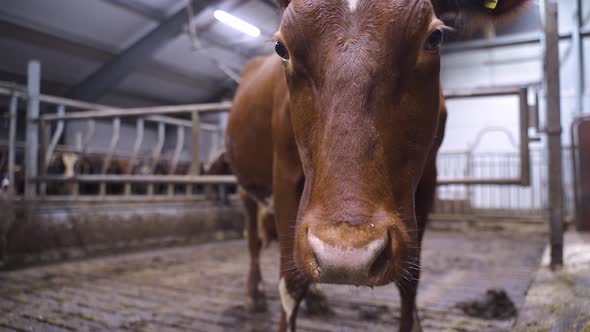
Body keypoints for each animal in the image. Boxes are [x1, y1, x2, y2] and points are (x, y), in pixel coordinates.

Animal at [225, 1, 528, 330]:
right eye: (282, 47)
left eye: (433, 38)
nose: (346, 257)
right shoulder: (285, 177)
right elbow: (291, 283)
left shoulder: (427, 180)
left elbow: (410, 279)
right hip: (248, 186)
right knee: (254, 241)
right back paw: (253, 294)